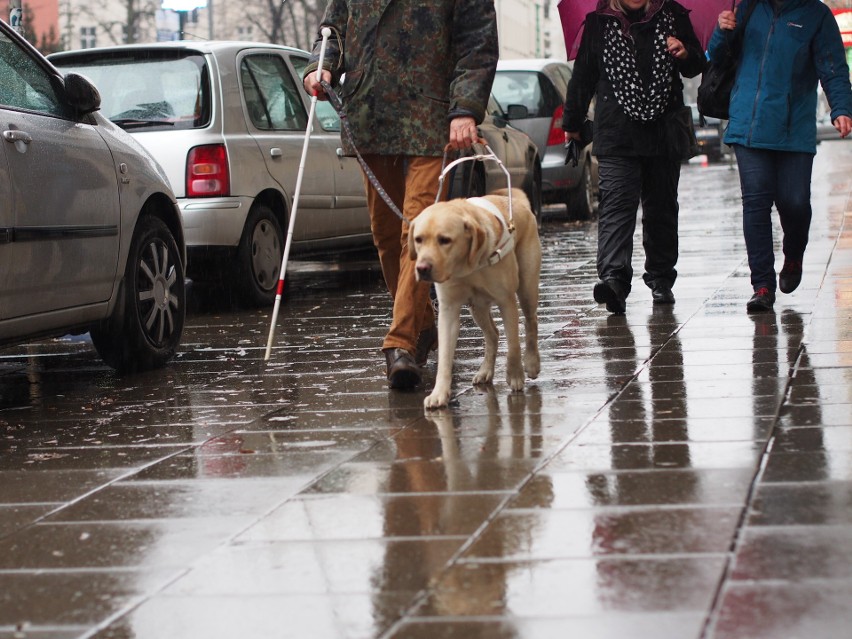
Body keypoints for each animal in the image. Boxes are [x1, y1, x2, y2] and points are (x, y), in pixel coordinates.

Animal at [412, 188, 544, 408]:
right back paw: (485, 371)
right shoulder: (448, 310)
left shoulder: (507, 301)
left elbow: (513, 344)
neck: (467, 267)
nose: (422, 268)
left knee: (530, 322)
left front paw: (515, 375)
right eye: (418, 239)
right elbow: (445, 356)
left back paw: (532, 362)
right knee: (493, 335)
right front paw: (439, 393)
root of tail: (517, 202)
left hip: (526, 287)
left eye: (445, 240)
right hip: (477, 307)